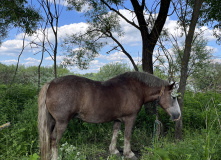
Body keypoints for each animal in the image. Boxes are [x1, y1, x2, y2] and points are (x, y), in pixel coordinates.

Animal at [37, 71, 180, 160]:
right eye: (173, 97)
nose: (178, 116)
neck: (136, 88)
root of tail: (51, 83)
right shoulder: (131, 117)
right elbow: (128, 135)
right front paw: (129, 153)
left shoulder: (117, 119)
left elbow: (115, 133)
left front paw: (114, 151)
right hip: (62, 122)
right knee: (54, 139)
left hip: (52, 121)